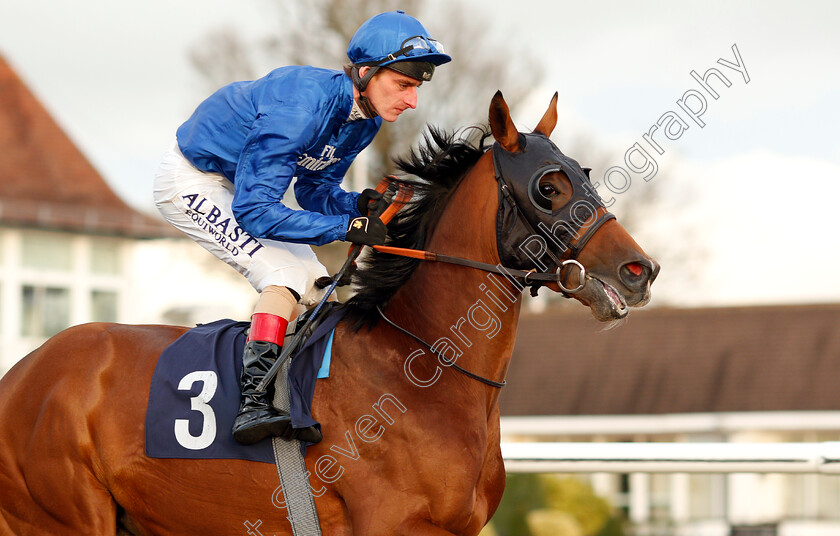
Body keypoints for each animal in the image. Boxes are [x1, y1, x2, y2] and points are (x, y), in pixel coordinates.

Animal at [0, 91, 656, 532]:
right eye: (549, 186)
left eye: (585, 175)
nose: (639, 270)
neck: (420, 367)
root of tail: (22, 373)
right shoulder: (389, 524)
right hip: (59, 517)